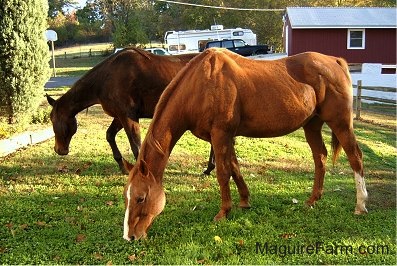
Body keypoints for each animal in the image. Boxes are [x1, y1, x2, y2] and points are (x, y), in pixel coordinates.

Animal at [46, 48, 215, 174]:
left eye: (53, 119)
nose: (58, 150)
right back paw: (209, 168)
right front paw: (122, 167)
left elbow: (136, 146)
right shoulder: (119, 116)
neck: (106, 78)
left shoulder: (128, 116)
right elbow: (110, 135)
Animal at [123, 48, 368, 241]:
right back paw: (312, 200)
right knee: (320, 157)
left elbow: (223, 172)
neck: (202, 84)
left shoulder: (221, 134)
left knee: (355, 157)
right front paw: (244, 201)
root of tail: (334, 61)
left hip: (340, 123)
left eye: (140, 198)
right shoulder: (225, 137)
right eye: (126, 195)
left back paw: (360, 205)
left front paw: (223, 212)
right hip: (312, 126)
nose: (130, 236)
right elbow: (235, 167)